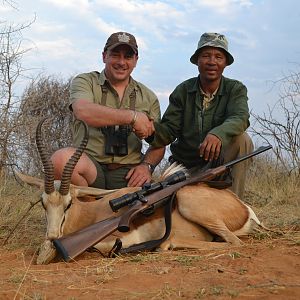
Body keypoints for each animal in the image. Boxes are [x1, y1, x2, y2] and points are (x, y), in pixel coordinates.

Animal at [18, 118, 262, 264]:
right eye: (43, 203)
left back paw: (166, 244)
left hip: (186, 199)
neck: (91, 214)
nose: (52, 237)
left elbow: (102, 248)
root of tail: (244, 208)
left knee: (234, 243)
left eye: (68, 203)